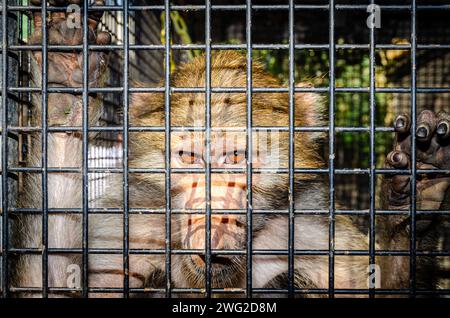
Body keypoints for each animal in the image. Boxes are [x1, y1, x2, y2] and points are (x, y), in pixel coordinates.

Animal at [7, 0, 450, 298]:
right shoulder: (124, 235)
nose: (210, 223)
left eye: (235, 158)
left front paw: (412, 201)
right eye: (188, 158)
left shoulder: (315, 236)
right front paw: (63, 86)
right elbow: (42, 286)